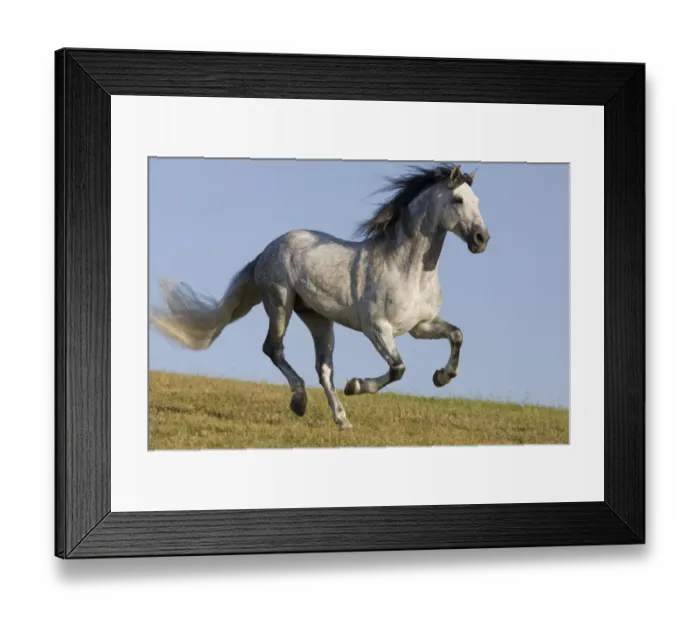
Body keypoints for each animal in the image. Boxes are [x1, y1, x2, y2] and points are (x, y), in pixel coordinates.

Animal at [150, 163, 490, 430]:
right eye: (457, 199)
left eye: (477, 200)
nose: (481, 239)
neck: (407, 270)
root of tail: (267, 250)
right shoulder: (377, 329)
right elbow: (398, 368)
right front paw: (356, 386)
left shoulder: (421, 326)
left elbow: (457, 335)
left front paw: (441, 377)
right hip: (280, 303)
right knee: (273, 348)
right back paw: (299, 402)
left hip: (318, 318)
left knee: (323, 369)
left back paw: (342, 420)